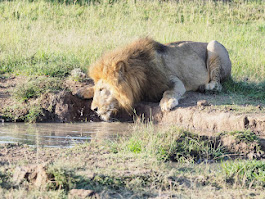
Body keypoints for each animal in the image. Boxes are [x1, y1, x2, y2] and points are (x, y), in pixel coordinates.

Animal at [78, 37, 229, 121]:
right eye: (97, 89)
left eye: (102, 89)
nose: (94, 109)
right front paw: (83, 91)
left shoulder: (174, 80)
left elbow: (169, 91)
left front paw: (167, 103)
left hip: (214, 45)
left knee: (218, 84)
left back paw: (206, 87)